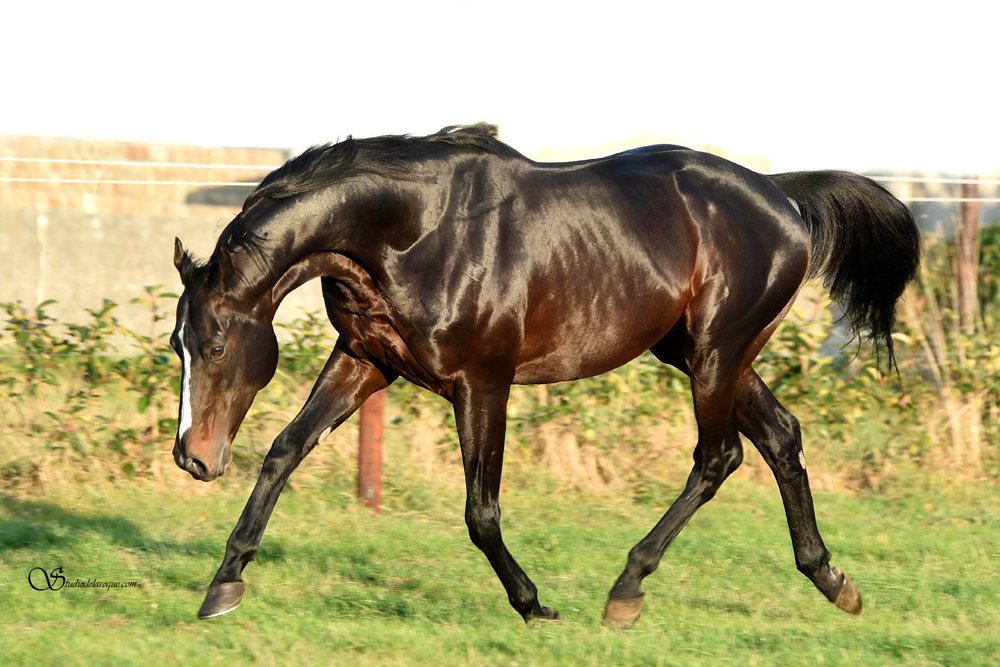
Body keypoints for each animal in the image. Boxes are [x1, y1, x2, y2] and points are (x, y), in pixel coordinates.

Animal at [170, 124, 920, 626]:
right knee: (781, 436)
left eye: (214, 347)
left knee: (720, 455)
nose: (193, 458)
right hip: (699, 353)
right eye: (177, 345)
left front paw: (534, 605)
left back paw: (627, 589)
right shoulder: (366, 360)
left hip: (717, 352)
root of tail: (782, 197)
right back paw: (832, 579)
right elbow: (284, 452)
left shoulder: (482, 382)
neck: (415, 232)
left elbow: (481, 511)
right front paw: (222, 586)